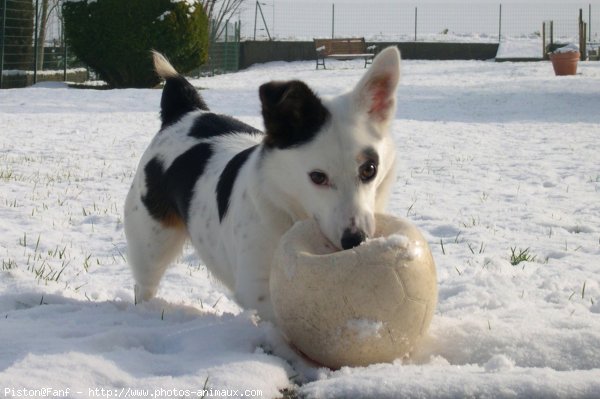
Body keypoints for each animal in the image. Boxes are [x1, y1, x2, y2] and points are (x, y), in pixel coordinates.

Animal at [124, 47, 400, 322]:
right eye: (317, 177)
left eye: (369, 169)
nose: (356, 240)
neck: (287, 209)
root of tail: (186, 113)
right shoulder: (255, 287)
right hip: (151, 243)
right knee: (145, 283)